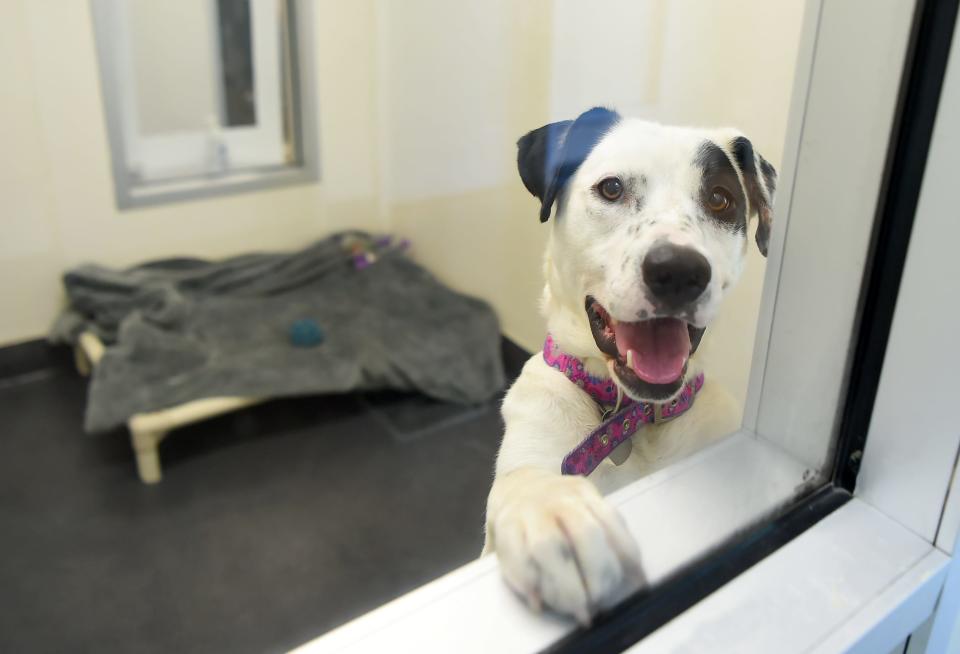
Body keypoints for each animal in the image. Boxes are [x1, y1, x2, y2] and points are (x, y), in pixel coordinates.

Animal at [484, 107, 776, 624]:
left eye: (720, 199)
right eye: (612, 188)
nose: (678, 271)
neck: (630, 416)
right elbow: (527, 481)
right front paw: (554, 514)